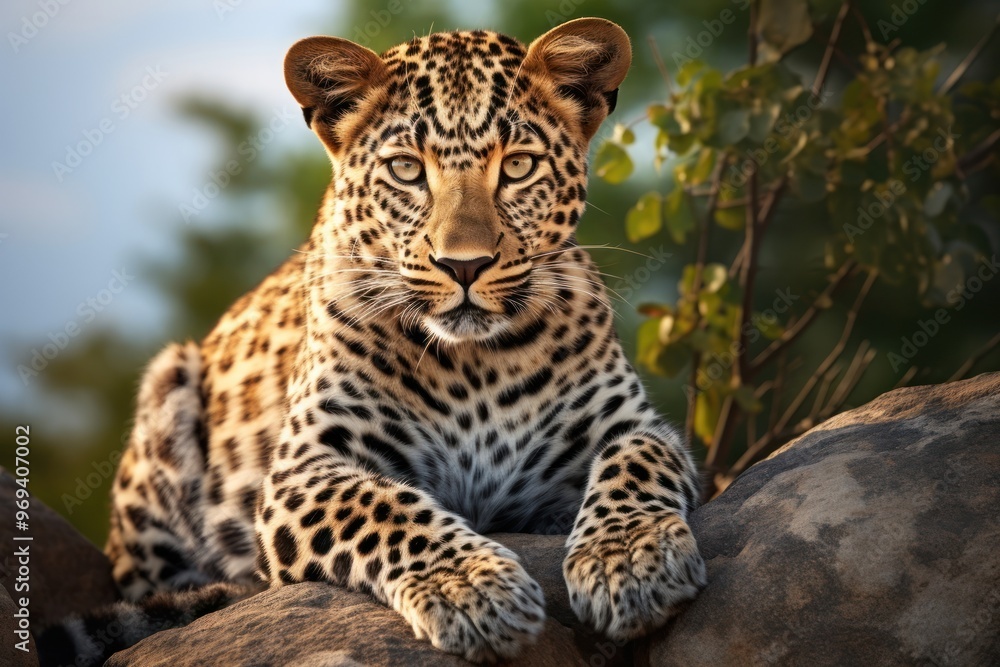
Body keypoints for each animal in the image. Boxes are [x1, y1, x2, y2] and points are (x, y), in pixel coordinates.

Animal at [38, 17, 706, 666]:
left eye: (517, 166)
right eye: (407, 169)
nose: (465, 265)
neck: (476, 362)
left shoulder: (628, 424)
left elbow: (638, 460)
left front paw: (632, 561)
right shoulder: (305, 468)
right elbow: (385, 508)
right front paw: (473, 590)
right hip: (167, 386)